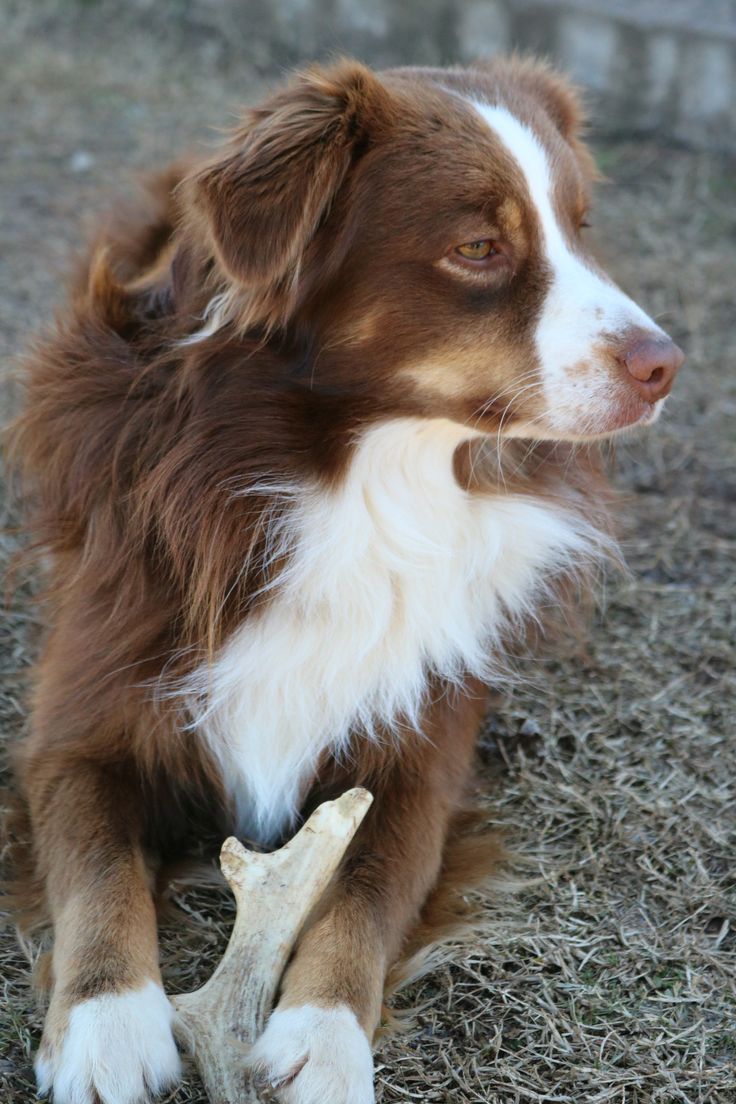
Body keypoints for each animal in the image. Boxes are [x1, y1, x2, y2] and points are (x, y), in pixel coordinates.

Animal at [8, 58, 684, 1104]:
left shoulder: (421, 743)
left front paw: (323, 1042)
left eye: (581, 227)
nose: (666, 366)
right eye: (479, 246)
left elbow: (365, 891)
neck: (352, 485)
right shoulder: (81, 719)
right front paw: (106, 1025)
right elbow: (96, 862)